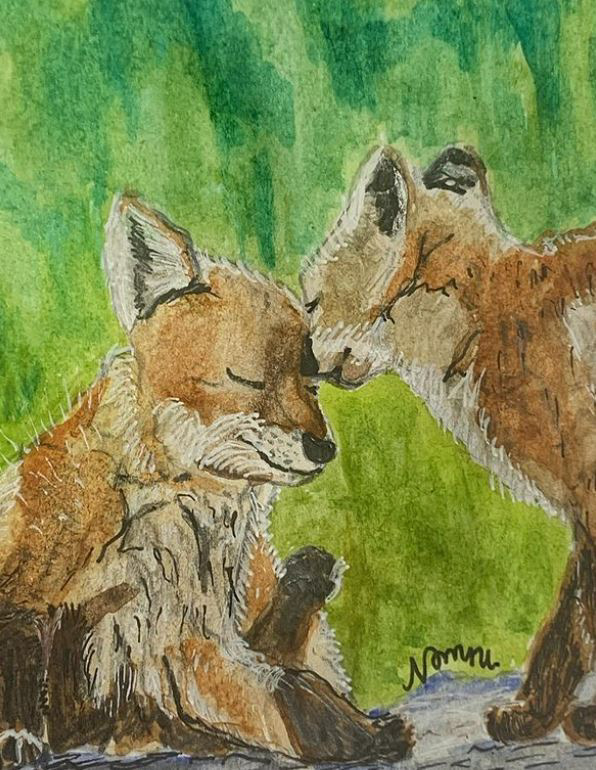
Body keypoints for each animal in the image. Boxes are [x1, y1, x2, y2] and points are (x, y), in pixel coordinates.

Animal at [0, 195, 414, 764]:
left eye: (310, 383)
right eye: (249, 379)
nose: (325, 448)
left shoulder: (187, 639)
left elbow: (278, 697)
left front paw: (353, 731)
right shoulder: (31, 592)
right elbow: (19, 663)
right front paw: (18, 736)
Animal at [301, 144, 595, 745]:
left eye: (312, 301)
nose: (298, 361)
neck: (490, 317)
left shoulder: (590, 489)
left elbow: (580, 621)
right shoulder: (583, 510)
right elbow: (566, 627)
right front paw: (533, 716)